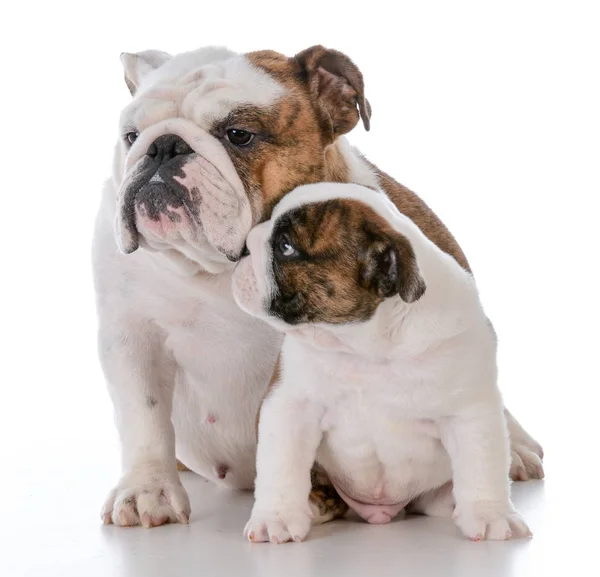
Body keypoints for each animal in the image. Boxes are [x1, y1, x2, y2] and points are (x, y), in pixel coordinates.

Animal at [237, 183, 532, 540]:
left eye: (285, 247)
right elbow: (280, 464)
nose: (243, 246)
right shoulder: (291, 405)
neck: (365, 345)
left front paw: (491, 515)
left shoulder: (470, 410)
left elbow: (482, 462)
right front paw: (275, 518)